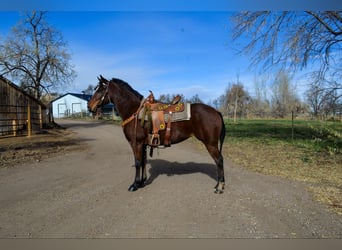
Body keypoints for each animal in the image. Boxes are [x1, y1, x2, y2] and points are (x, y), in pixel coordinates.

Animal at [89, 75, 224, 193]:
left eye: (101, 90)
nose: (89, 106)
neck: (134, 111)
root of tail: (216, 111)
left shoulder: (136, 143)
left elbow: (138, 163)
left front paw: (134, 185)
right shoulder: (143, 144)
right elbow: (143, 161)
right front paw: (142, 182)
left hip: (210, 144)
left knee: (219, 160)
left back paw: (220, 187)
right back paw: (218, 185)